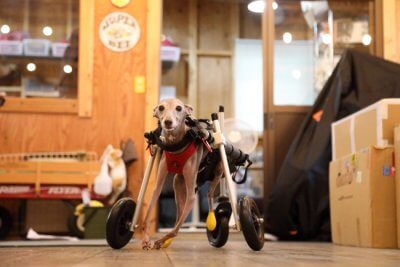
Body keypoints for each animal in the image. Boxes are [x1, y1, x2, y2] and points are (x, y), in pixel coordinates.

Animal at [141, 98, 222, 251]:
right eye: (161, 107)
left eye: (179, 108)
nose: (168, 122)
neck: (176, 145)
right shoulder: (158, 185)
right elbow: (148, 214)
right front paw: (146, 239)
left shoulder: (191, 196)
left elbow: (175, 231)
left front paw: (159, 241)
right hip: (178, 184)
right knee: (179, 214)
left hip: (217, 174)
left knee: (209, 195)